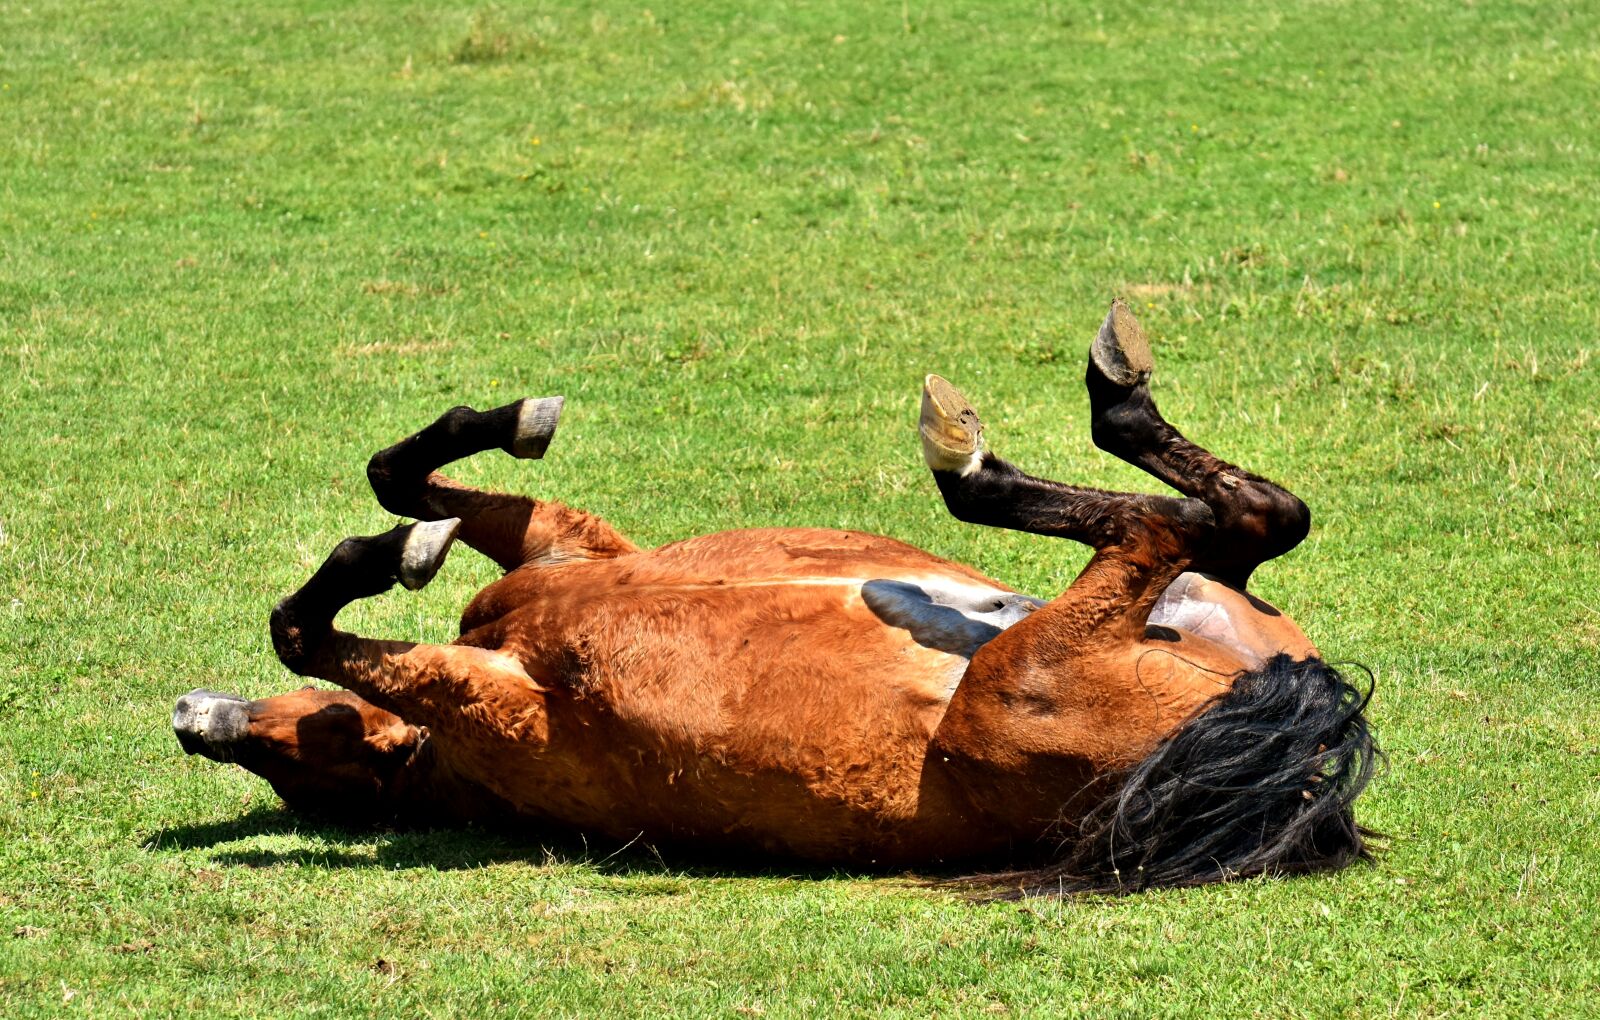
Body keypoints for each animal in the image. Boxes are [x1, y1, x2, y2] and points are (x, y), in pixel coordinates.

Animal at [172, 302, 1378, 896]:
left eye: (297, 756)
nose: (193, 721)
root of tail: (1293, 734)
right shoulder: (499, 688)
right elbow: (304, 622)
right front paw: (393, 555)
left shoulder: (568, 550)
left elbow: (391, 491)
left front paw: (490, 440)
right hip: (1020, 680)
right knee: (1196, 525)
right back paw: (994, 451)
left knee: (1222, 521)